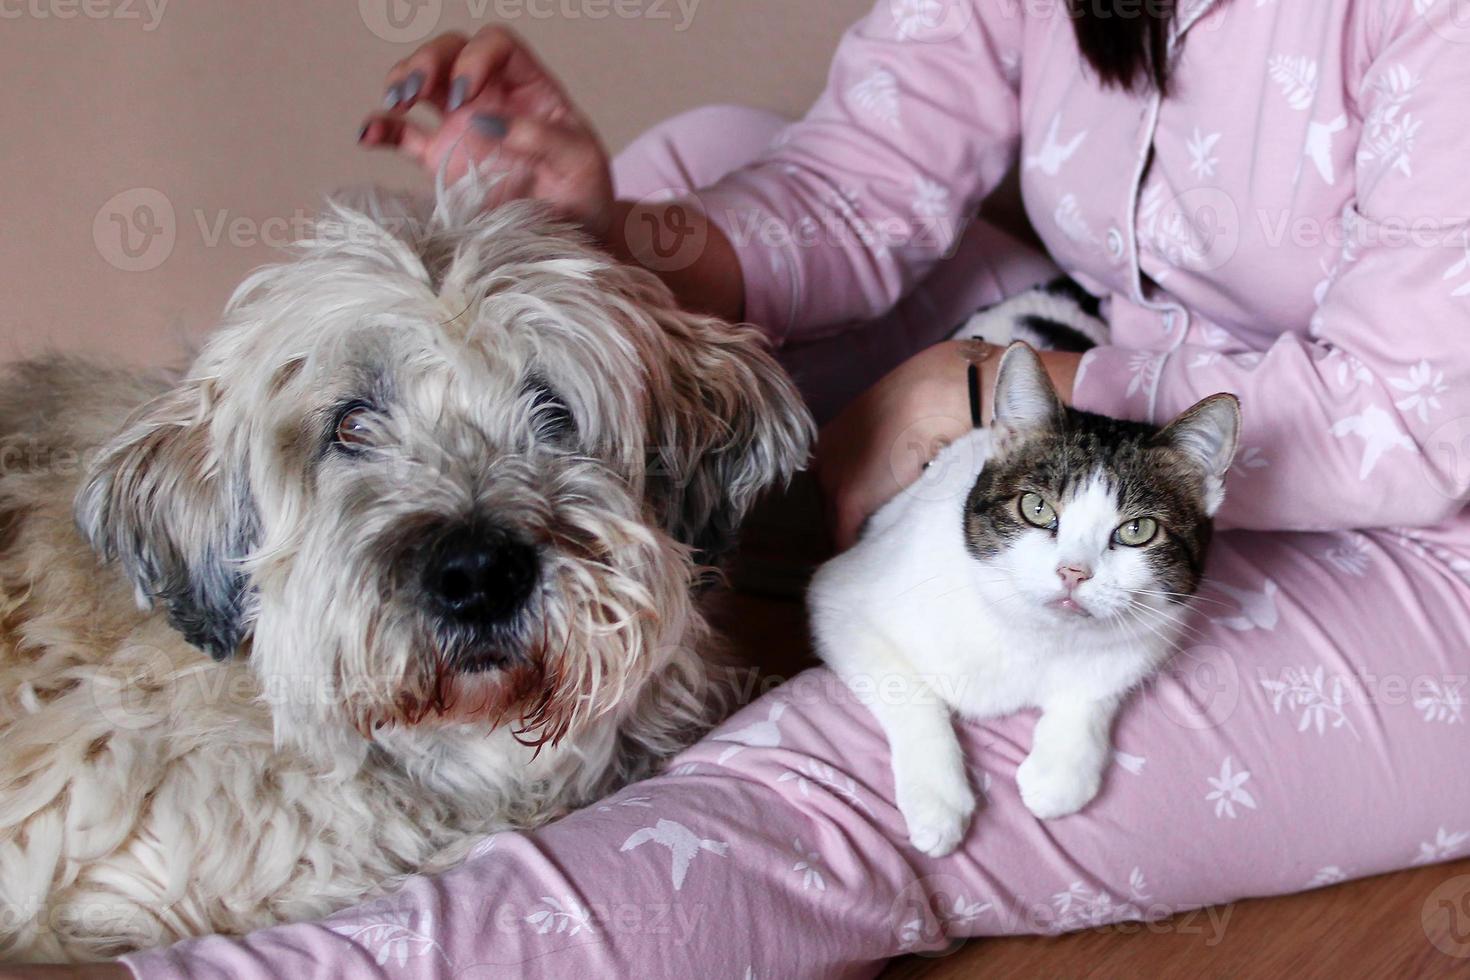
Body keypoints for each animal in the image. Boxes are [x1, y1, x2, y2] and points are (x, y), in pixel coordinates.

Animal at [811, 329, 1234, 852]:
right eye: (1036, 508)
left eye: (1137, 530)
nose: (1073, 571)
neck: (1037, 637)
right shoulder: (840, 597)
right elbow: (907, 691)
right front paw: (937, 798)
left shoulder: (1153, 632)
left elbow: (1100, 684)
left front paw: (1063, 767)